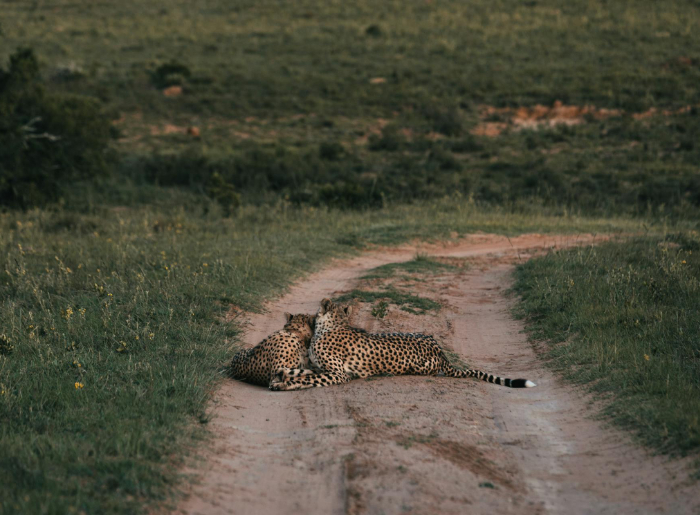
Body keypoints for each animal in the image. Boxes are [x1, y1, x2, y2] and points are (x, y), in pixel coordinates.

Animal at [269, 298, 535, 391]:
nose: (312, 317)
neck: (334, 325)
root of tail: (442, 354)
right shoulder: (319, 367)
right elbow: (302, 371)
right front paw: (281, 377)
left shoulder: (339, 374)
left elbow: (310, 379)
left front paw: (285, 384)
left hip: (418, 366)